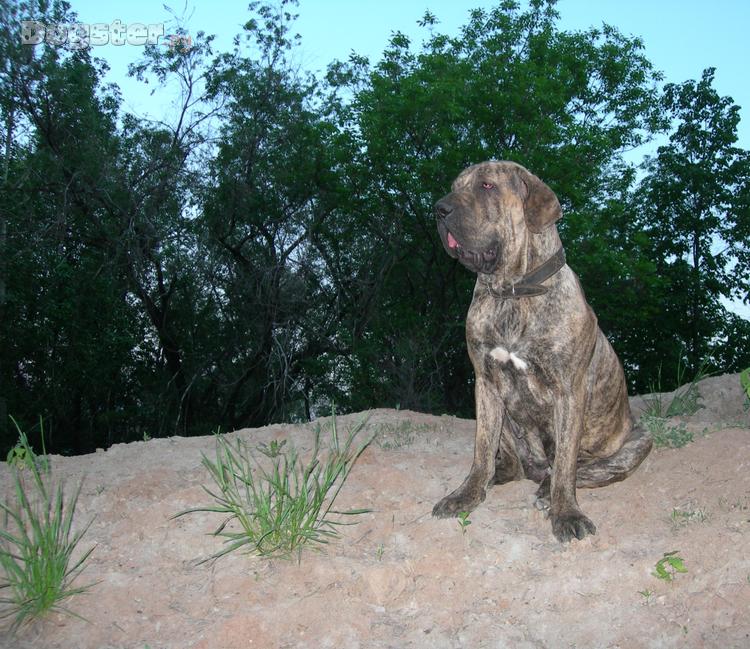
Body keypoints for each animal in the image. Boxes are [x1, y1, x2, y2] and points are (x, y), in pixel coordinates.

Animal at [432, 160, 652, 542]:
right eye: (456, 186)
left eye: (487, 186)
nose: (439, 209)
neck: (513, 293)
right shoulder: (485, 383)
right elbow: (481, 449)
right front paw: (465, 494)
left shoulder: (569, 392)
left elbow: (565, 464)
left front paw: (566, 512)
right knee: (508, 460)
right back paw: (502, 475)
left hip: (639, 439)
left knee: (586, 470)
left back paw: (547, 491)